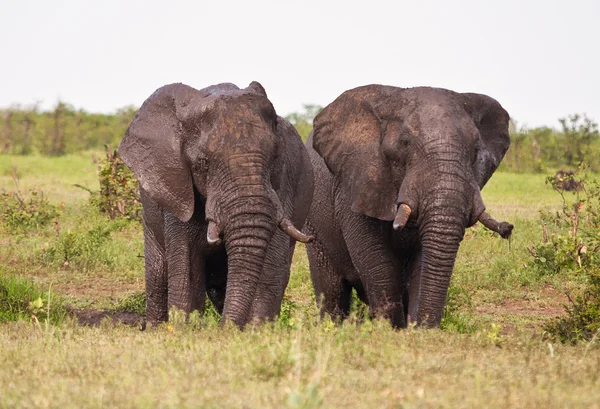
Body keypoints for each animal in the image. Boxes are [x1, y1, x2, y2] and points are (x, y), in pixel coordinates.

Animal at [118, 81, 314, 326]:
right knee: (158, 273)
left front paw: (256, 330)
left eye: (274, 157)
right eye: (202, 163)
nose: (226, 329)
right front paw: (184, 329)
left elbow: (271, 261)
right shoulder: (178, 188)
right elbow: (186, 264)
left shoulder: (283, 183)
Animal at [308, 84, 512, 326]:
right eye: (404, 143)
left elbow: (422, 260)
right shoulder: (355, 184)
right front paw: (390, 329)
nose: (508, 228)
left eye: (475, 150)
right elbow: (377, 261)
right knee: (331, 290)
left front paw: (412, 328)